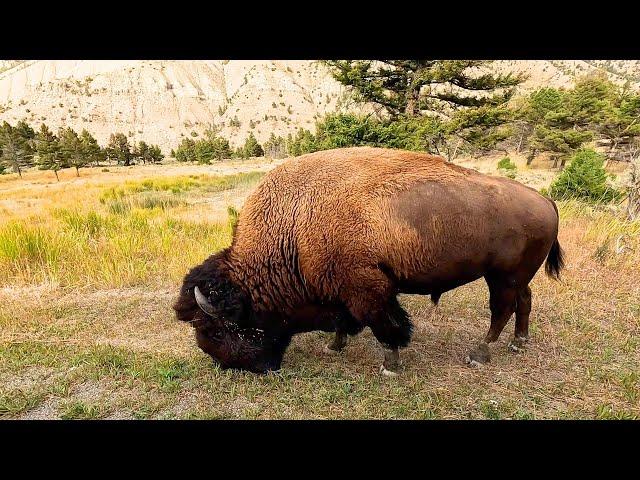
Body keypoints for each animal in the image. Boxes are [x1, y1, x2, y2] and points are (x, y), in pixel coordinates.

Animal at [172, 146, 564, 376]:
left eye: (214, 329)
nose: (229, 366)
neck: (292, 226)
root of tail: (545, 200)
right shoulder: (340, 289)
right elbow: (345, 321)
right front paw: (334, 346)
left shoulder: (368, 289)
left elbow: (385, 325)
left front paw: (390, 365)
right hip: (515, 277)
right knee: (524, 302)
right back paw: (518, 343)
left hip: (501, 277)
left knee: (501, 310)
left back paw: (479, 353)